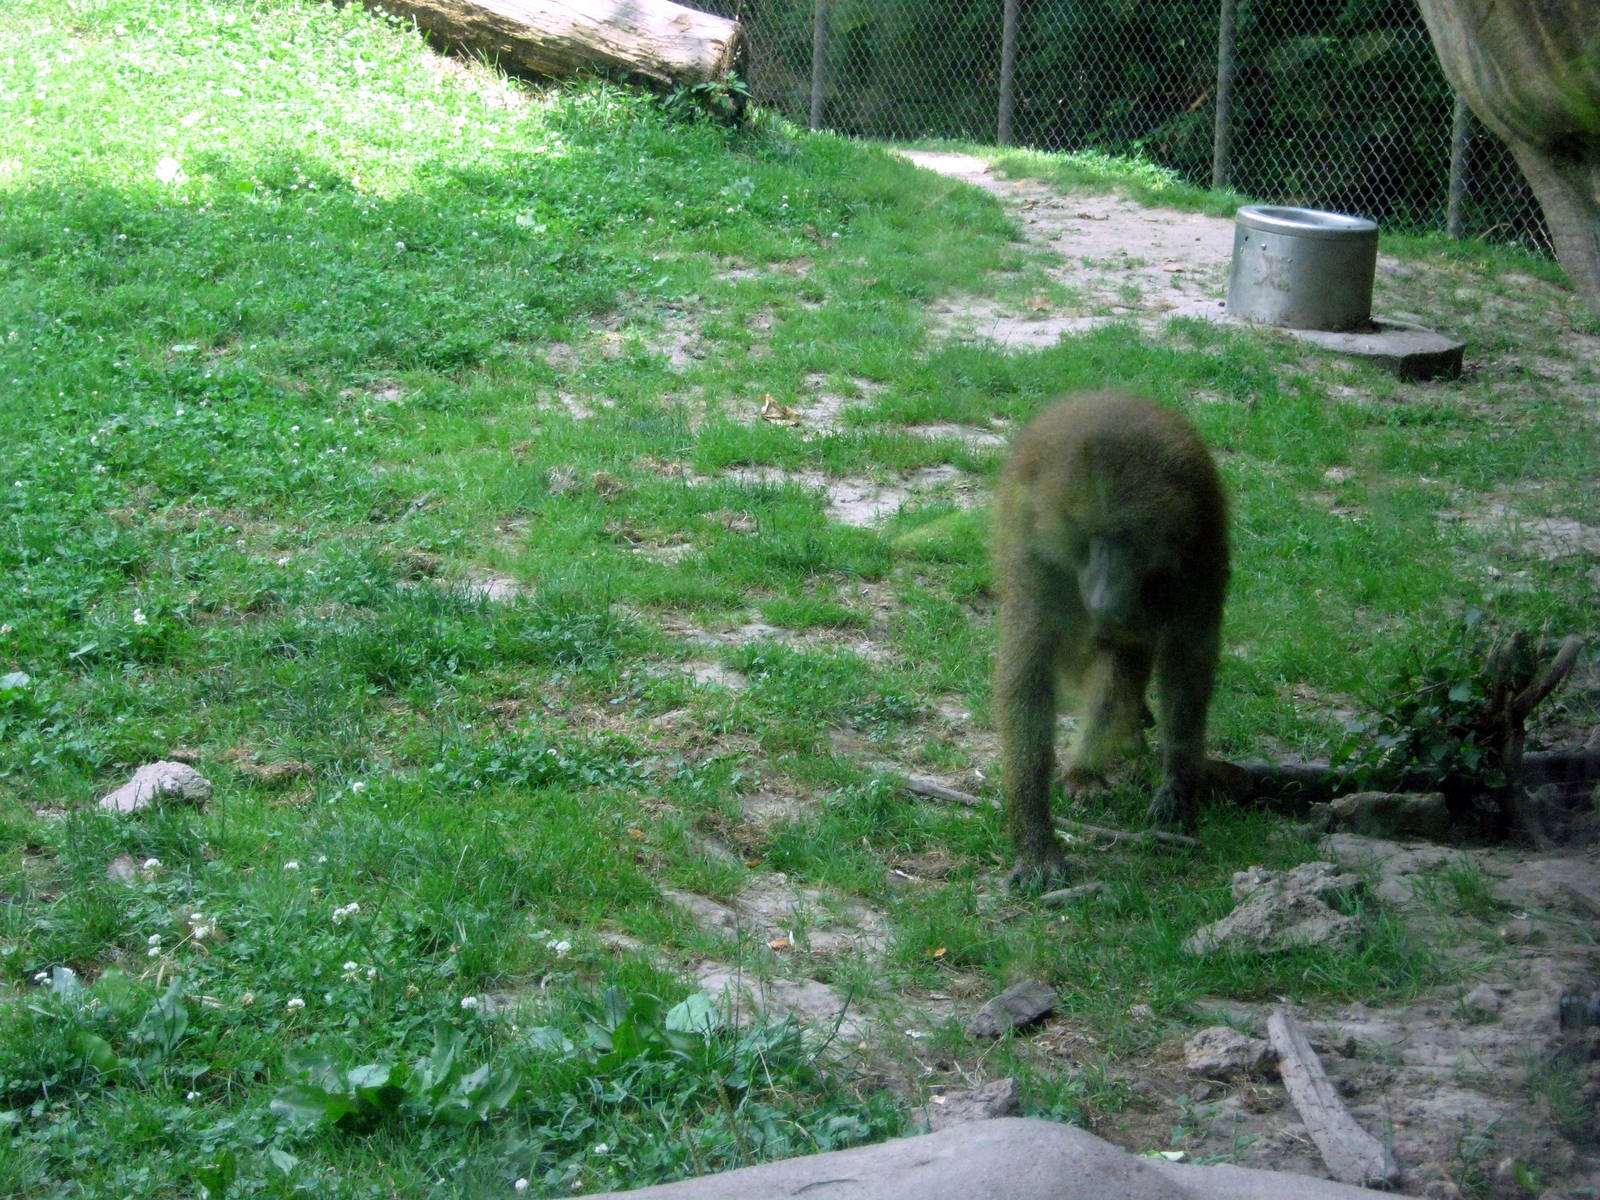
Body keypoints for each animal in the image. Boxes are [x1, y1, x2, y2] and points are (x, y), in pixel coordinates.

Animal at [992, 391, 1229, 889]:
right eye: (1087, 539)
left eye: (1127, 540)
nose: (1102, 596)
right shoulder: (1032, 547)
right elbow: (1028, 678)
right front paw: (1036, 844)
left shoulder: (1201, 536)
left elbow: (1188, 661)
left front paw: (1177, 790)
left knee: (1123, 662)